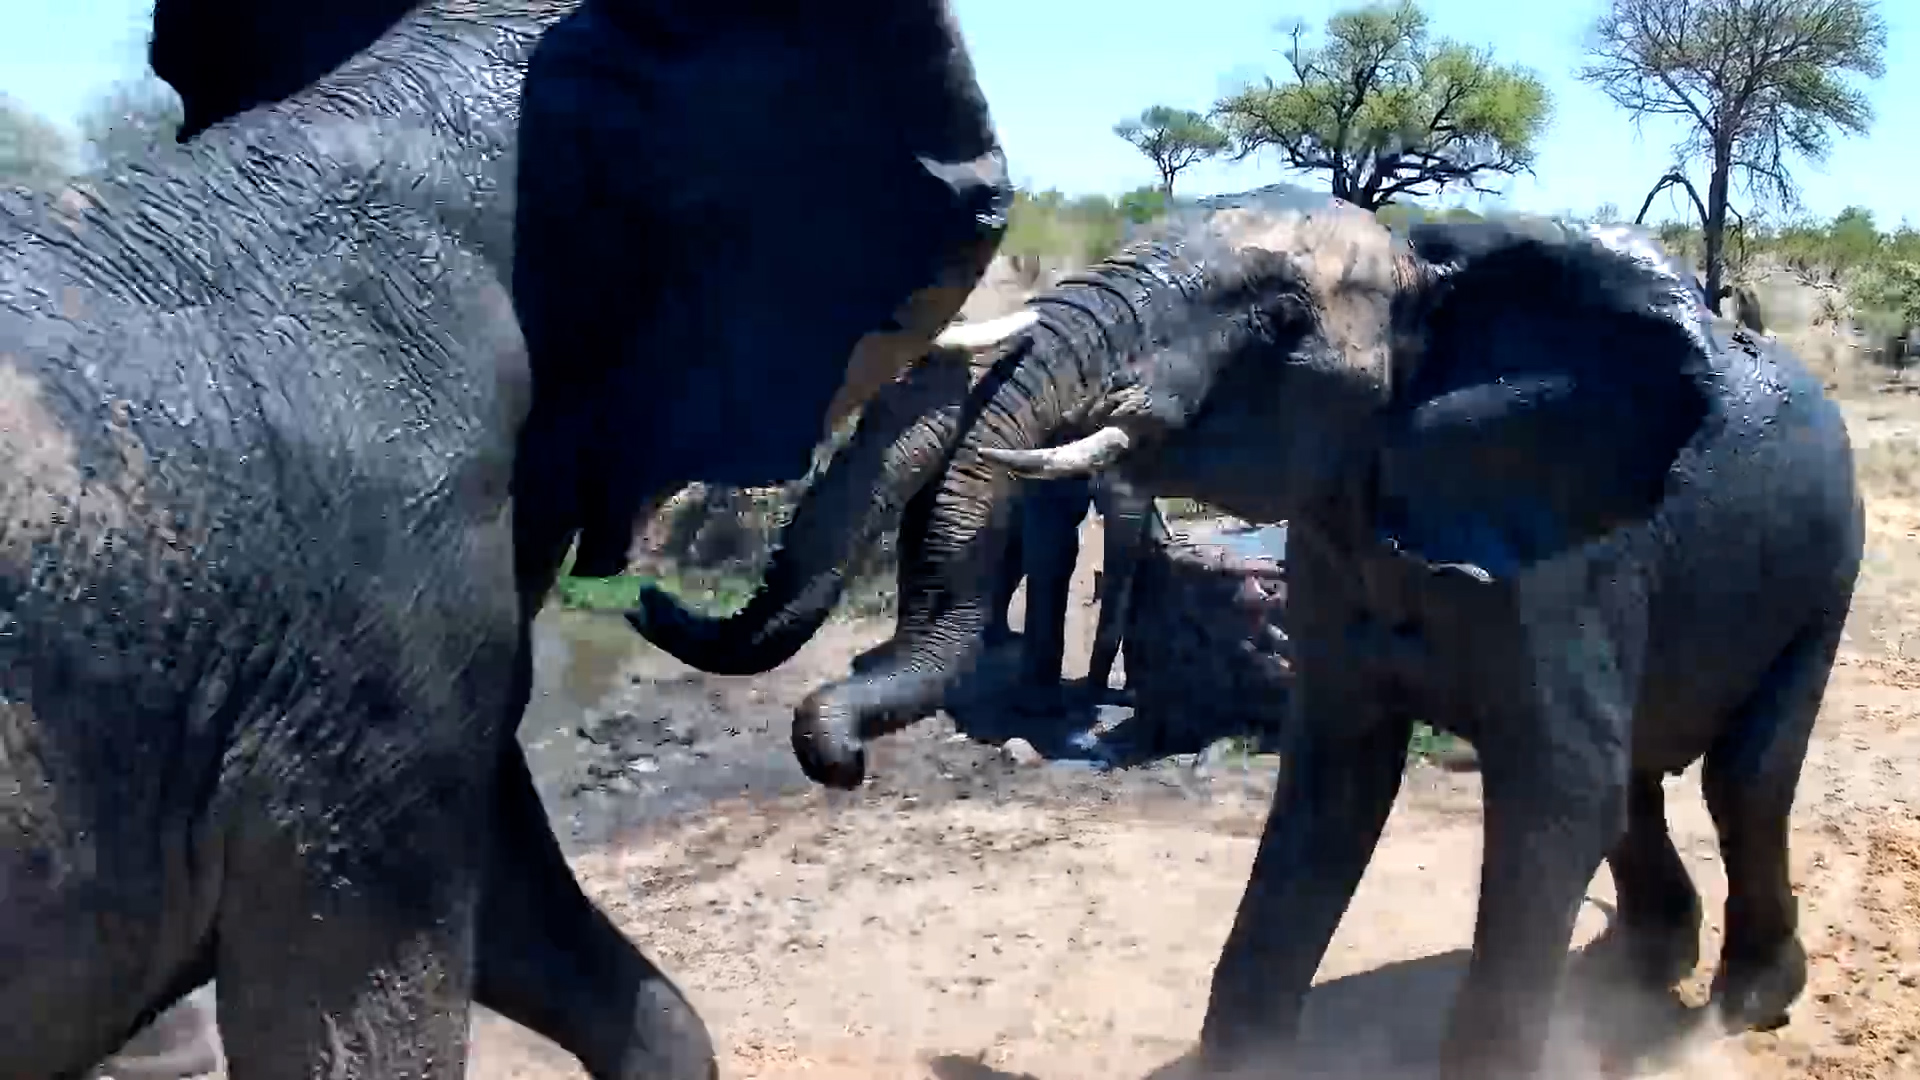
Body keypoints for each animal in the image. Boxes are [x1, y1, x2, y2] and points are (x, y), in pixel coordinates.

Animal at [779, 193, 1864, 1080]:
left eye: (1276, 322)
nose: (837, 760)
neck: (1431, 279)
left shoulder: (1569, 561)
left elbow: (1556, 798)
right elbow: (1329, 788)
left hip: (1827, 565)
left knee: (1741, 779)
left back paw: (1742, 1002)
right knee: (1643, 777)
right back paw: (1640, 968)